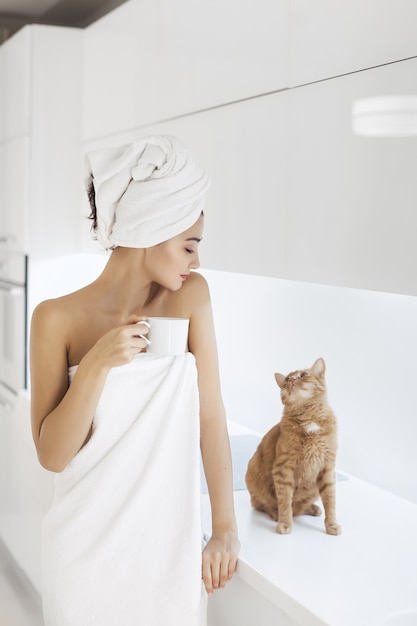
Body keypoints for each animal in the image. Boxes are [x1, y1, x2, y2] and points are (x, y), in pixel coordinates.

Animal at [245, 358, 340, 532]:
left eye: (303, 375)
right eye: (287, 379)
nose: (292, 380)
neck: (310, 419)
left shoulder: (328, 468)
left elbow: (330, 501)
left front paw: (332, 525)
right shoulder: (283, 467)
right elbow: (285, 501)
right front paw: (285, 523)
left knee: (299, 507)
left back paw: (312, 508)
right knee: (263, 504)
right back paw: (276, 514)